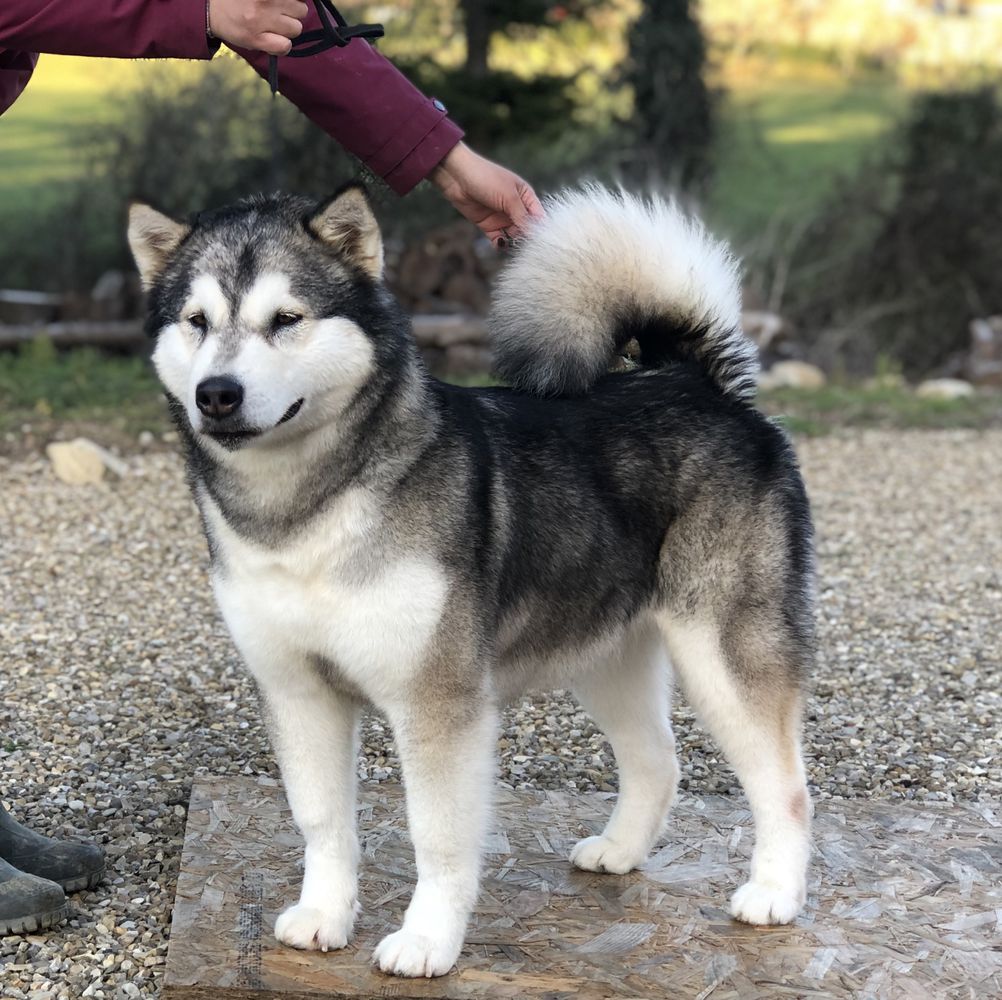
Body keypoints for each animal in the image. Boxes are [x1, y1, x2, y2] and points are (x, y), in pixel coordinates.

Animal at [127, 186, 813, 977]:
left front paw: (427, 940)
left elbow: (439, 836)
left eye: (286, 320)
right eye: (197, 321)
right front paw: (326, 915)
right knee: (658, 760)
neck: (305, 512)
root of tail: (696, 381)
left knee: (786, 787)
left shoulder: (437, 700)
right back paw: (619, 850)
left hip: (724, 655)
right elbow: (324, 821)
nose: (217, 394)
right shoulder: (298, 691)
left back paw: (774, 893)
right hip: (605, 655)